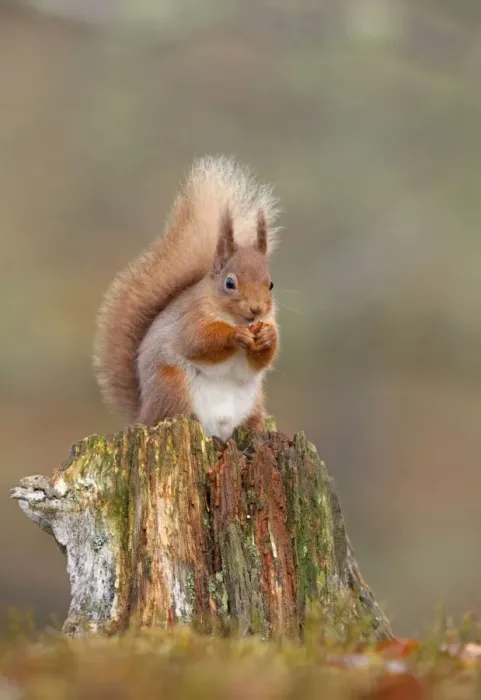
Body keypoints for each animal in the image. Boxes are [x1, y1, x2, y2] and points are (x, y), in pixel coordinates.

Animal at [93, 155, 281, 441]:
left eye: (270, 284)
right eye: (230, 283)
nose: (256, 310)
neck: (234, 318)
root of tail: (143, 415)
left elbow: (262, 360)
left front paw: (268, 337)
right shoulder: (192, 317)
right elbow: (198, 341)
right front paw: (235, 336)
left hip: (253, 403)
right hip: (173, 386)